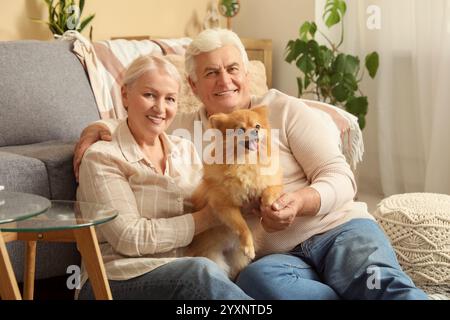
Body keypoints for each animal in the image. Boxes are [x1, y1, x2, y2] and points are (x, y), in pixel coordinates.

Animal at [185, 106, 282, 278]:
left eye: (257, 126)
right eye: (241, 129)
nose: (254, 131)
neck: (246, 163)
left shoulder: (273, 181)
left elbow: (271, 190)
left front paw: (267, 203)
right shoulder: (224, 205)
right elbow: (242, 226)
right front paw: (248, 246)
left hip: (238, 260)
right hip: (215, 258)